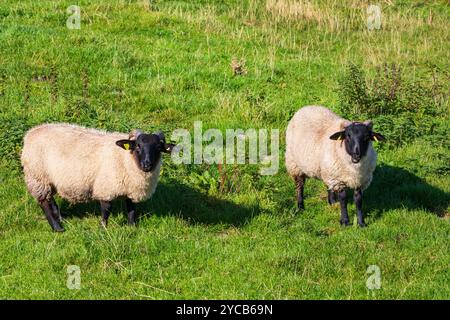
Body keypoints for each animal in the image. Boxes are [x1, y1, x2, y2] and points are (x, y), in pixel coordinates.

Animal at [22, 123, 175, 232]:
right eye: (138, 146)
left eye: (158, 147)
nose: (147, 165)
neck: (126, 158)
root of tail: (30, 133)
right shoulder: (106, 187)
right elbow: (106, 210)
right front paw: (103, 230)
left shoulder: (131, 189)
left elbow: (131, 209)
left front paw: (132, 228)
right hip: (38, 177)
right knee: (44, 202)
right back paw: (58, 228)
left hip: (49, 180)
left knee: (51, 202)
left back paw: (60, 220)